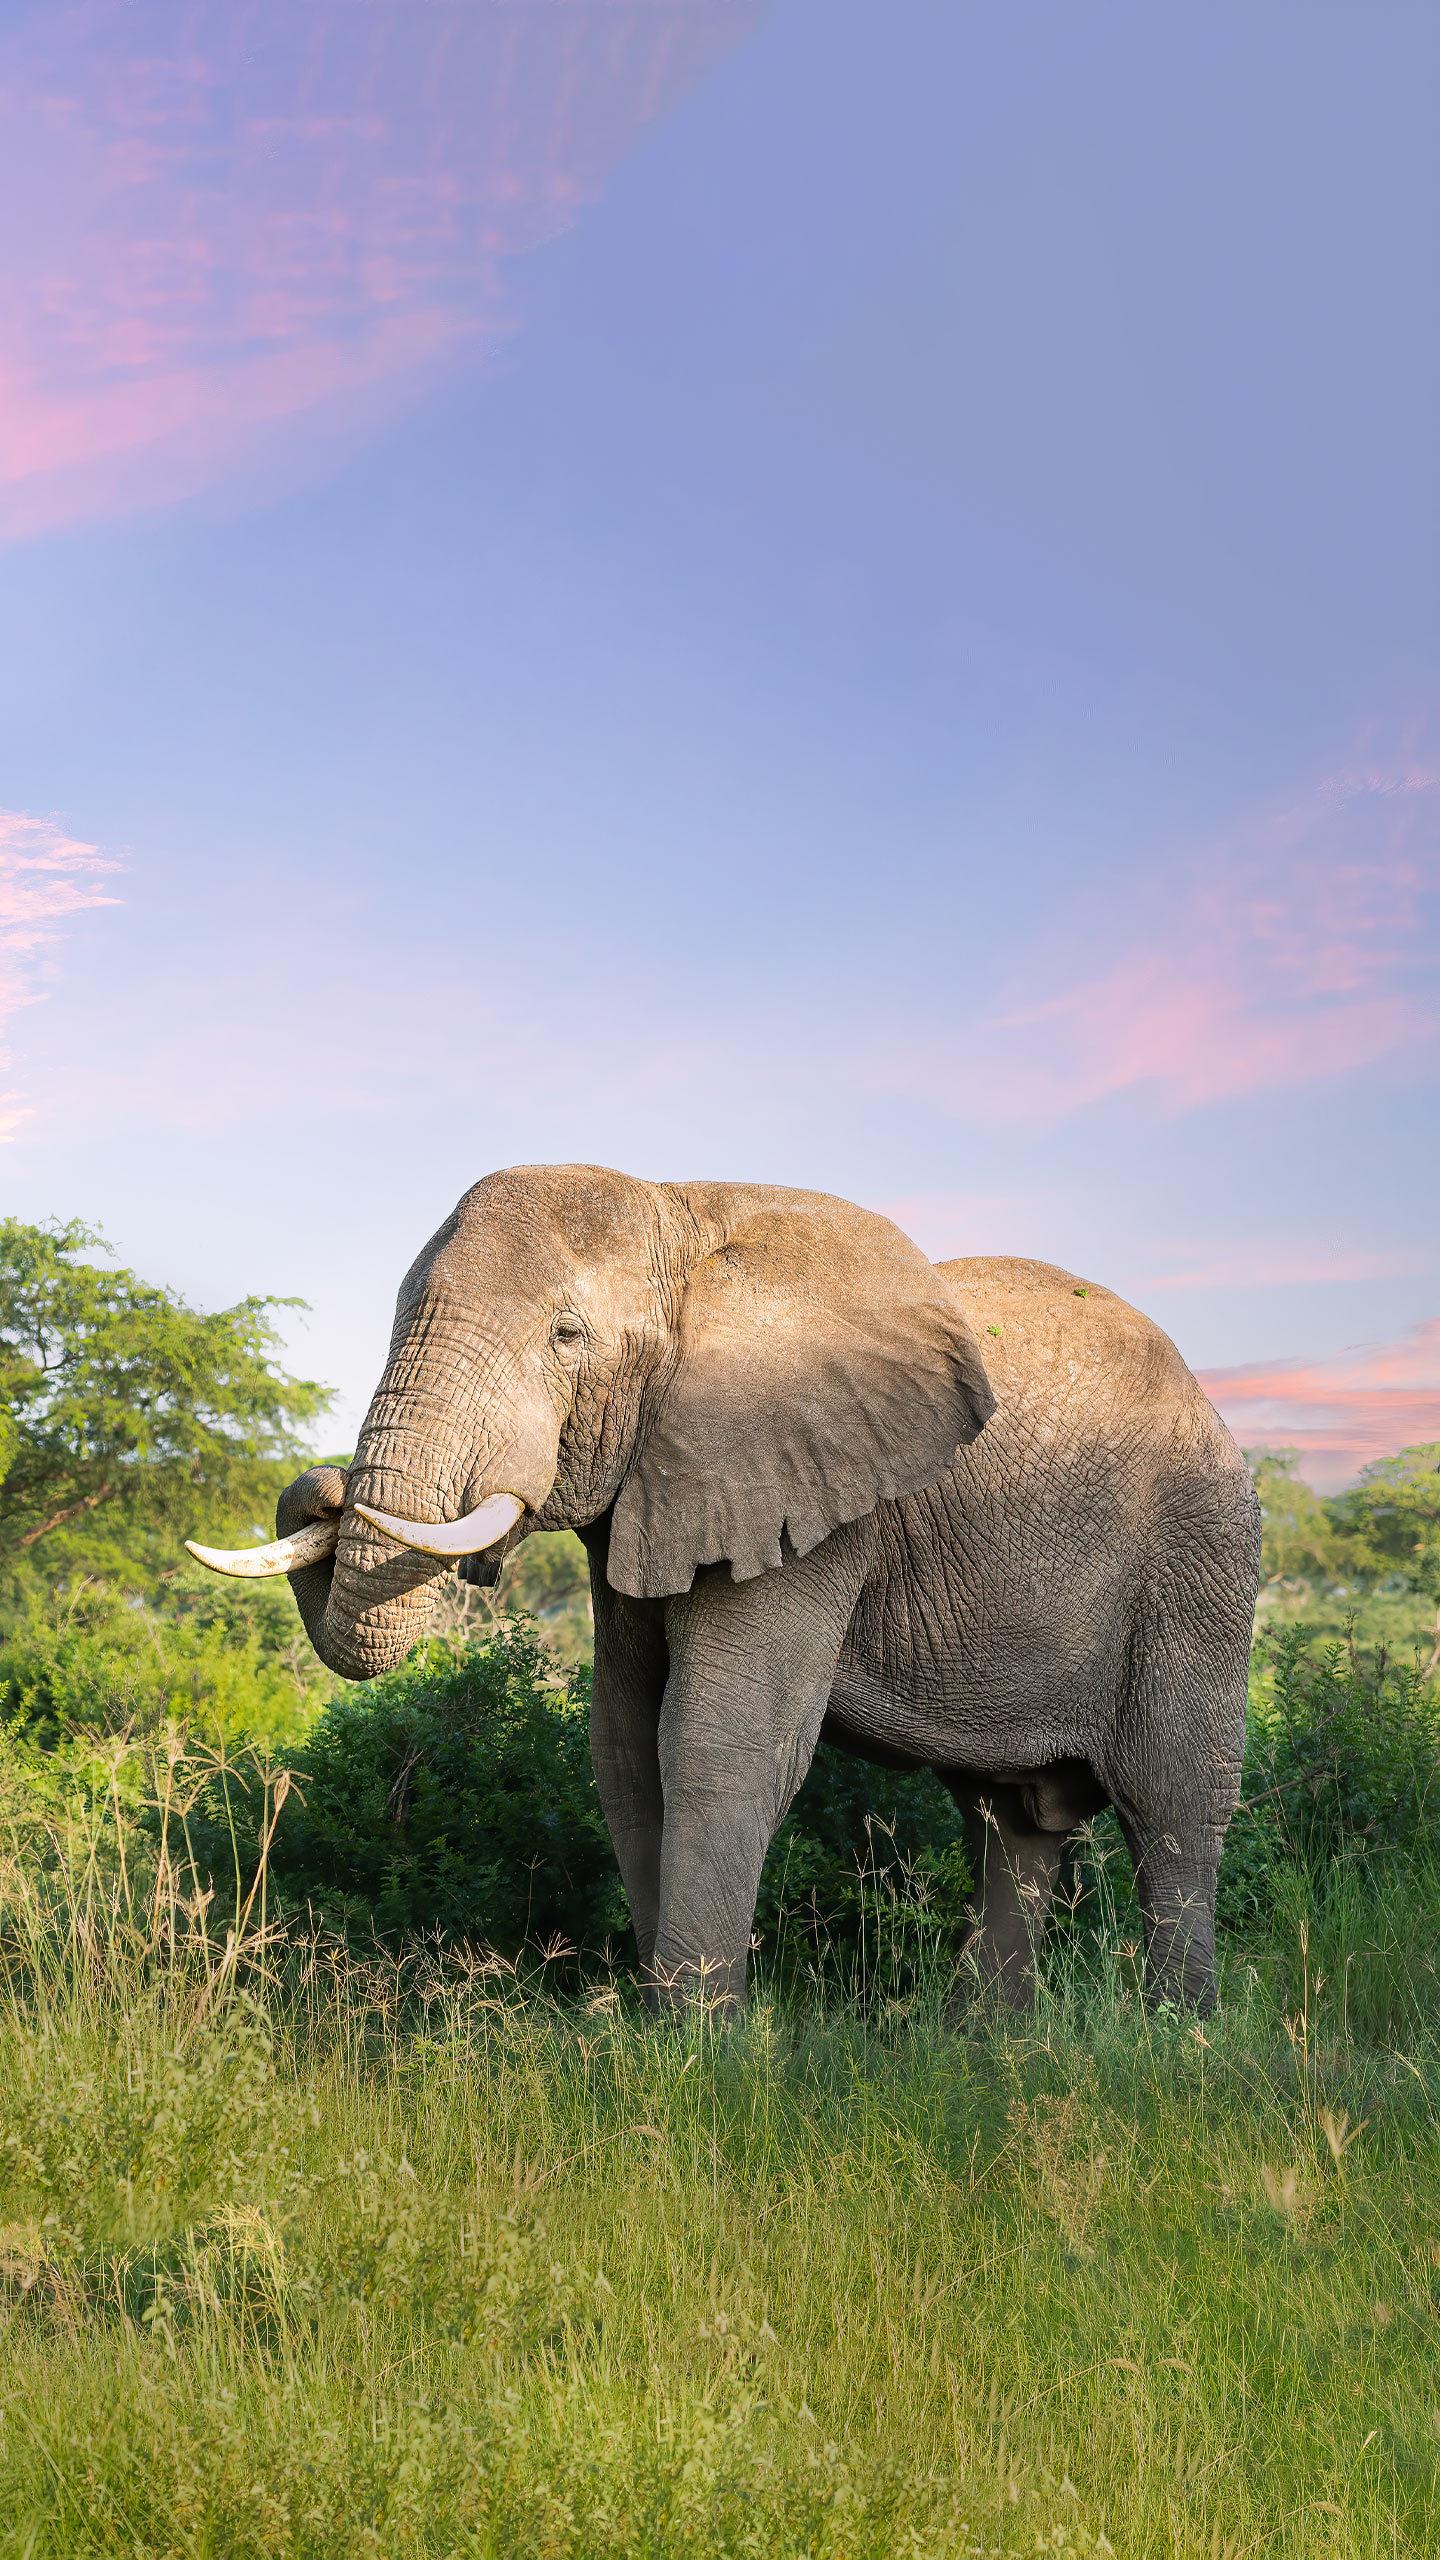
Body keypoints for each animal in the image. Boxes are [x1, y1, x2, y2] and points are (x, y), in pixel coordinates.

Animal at [190, 1167, 1255, 2017]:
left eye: (566, 1335)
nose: (324, 1486)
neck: (682, 1217)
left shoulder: (806, 1493)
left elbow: (715, 1743)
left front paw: (694, 2051)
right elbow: (625, 1747)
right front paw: (655, 2026)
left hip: (1197, 1565)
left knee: (1172, 1805)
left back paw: (1176, 2040)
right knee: (1012, 1825)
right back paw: (987, 2044)